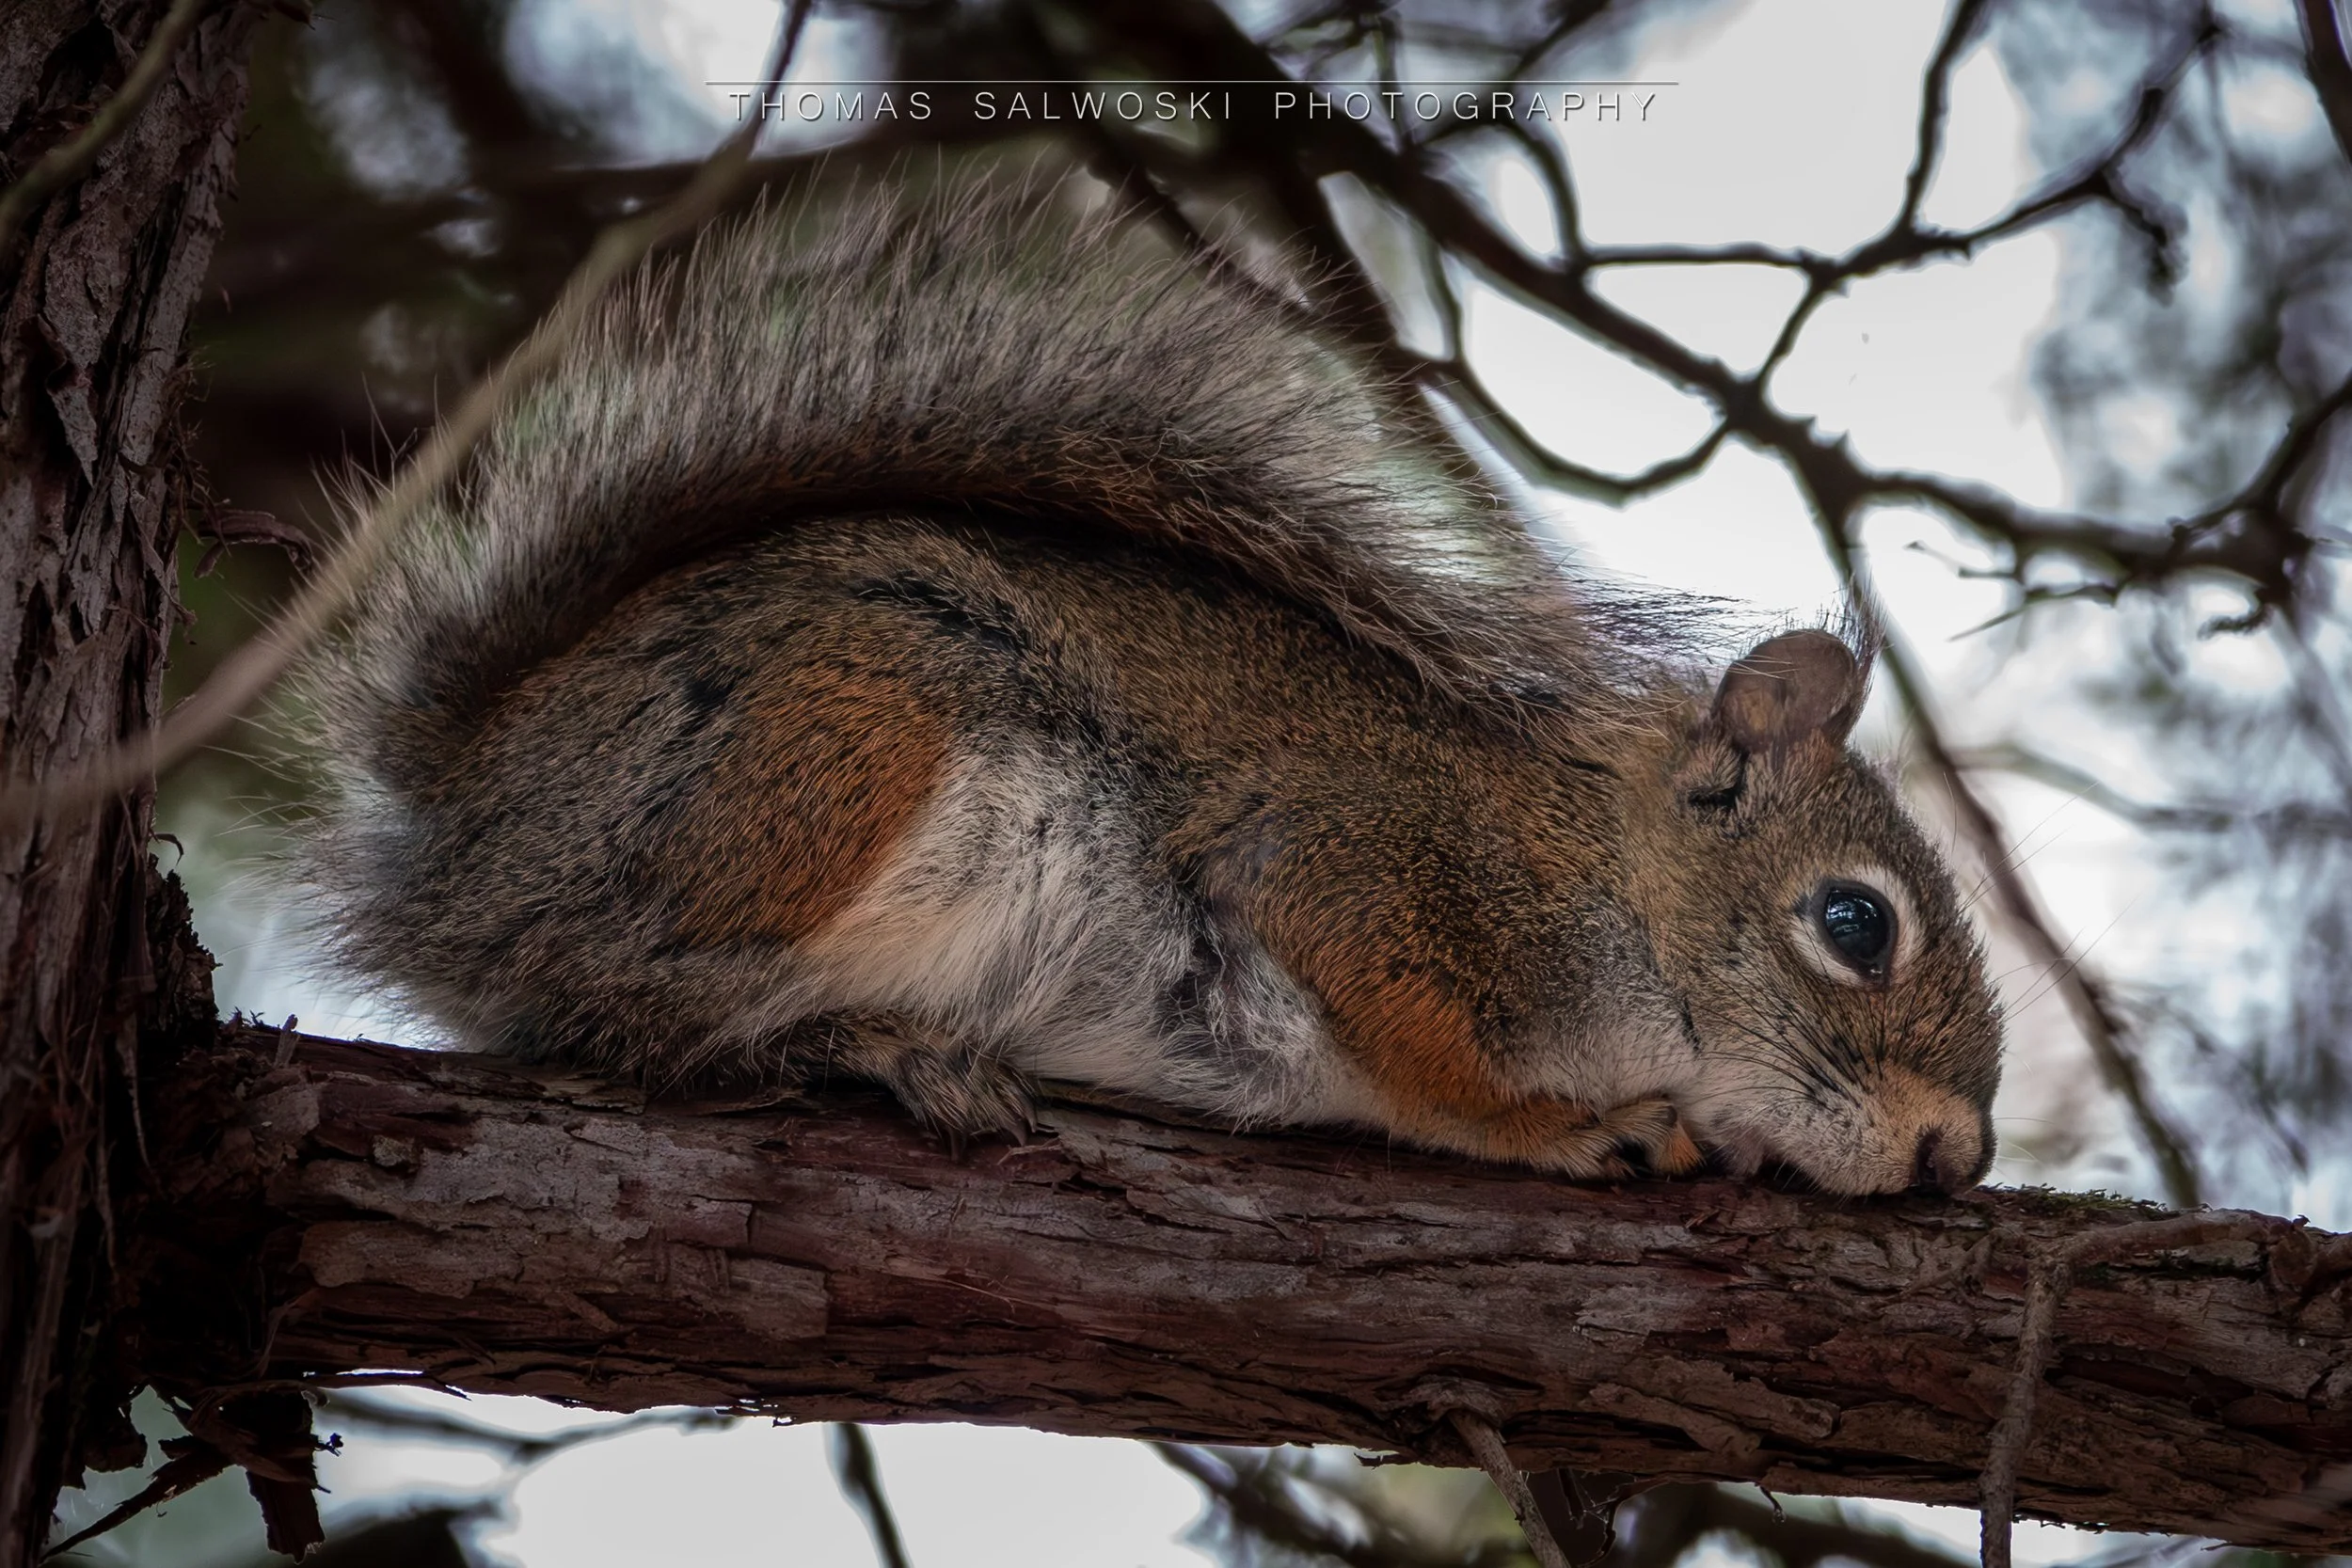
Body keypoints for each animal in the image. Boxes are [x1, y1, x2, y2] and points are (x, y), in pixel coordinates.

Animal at [293, 178, 2003, 1197]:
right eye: (1855, 924)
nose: (1959, 1155)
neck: (1610, 876)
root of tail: (464, 826)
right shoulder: (1358, 866)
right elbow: (1428, 1064)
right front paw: (1577, 1126)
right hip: (842, 738)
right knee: (620, 993)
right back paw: (857, 1040)